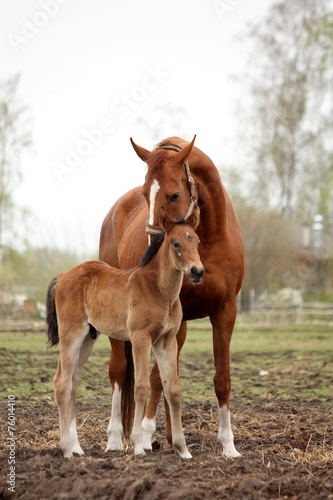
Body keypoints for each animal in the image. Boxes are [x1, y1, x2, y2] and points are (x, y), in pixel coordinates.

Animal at [99, 136, 244, 458]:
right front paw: (144, 434)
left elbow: (220, 379)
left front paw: (227, 444)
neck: (211, 237)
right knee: (119, 369)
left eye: (174, 194)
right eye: (145, 194)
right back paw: (116, 438)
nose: (155, 242)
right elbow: (155, 378)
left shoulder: (223, 312)